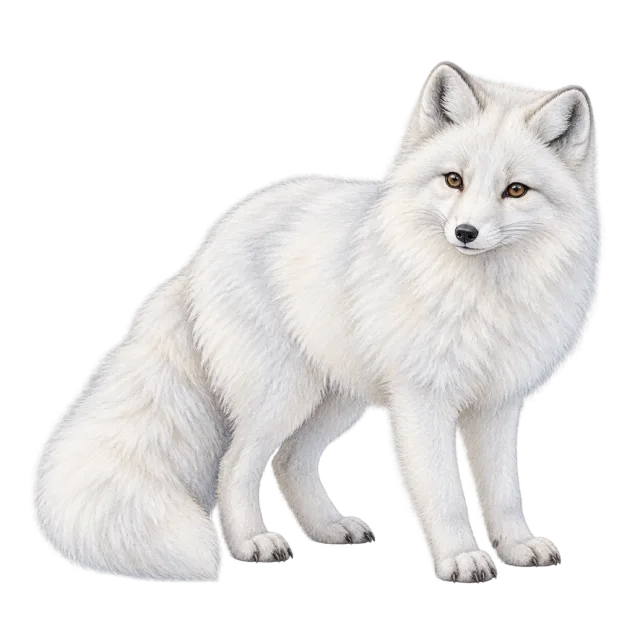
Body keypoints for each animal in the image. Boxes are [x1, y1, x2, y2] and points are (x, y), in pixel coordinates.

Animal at [29, 61, 603, 583]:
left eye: (516, 190)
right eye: (454, 180)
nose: (465, 232)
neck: (483, 296)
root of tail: (197, 257)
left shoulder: (499, 404)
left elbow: (503, 490)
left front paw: (520, 546)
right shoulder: (423, 400)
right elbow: (442, 490)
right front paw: (462, 558)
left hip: (336, 397)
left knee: (289, 461)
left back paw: (328, 529)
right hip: (284, 394)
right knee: (235, 466)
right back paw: (254, 541)